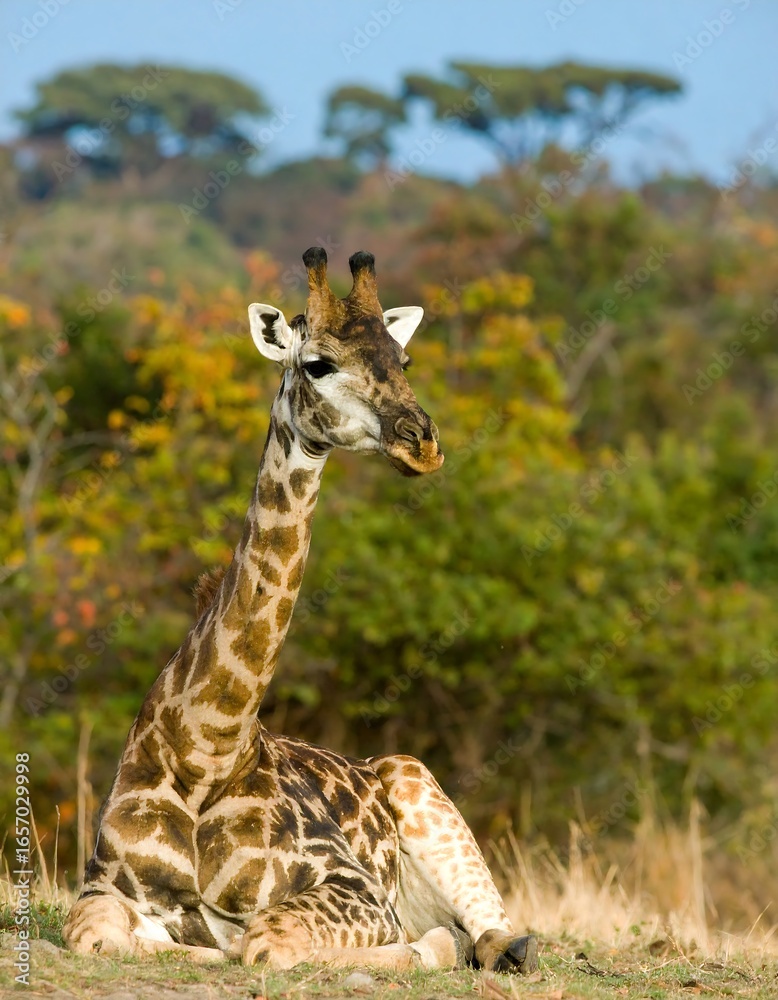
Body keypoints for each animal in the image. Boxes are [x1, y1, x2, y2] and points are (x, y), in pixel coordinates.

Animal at [62, 248, 538, 976]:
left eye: (404, 360)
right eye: (317, 363)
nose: (422, 443)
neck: (206, 747)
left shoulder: (357, 890)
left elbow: (268, 943)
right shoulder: (106, 884)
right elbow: (96, 934)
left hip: (423, 790)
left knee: (499, 940)